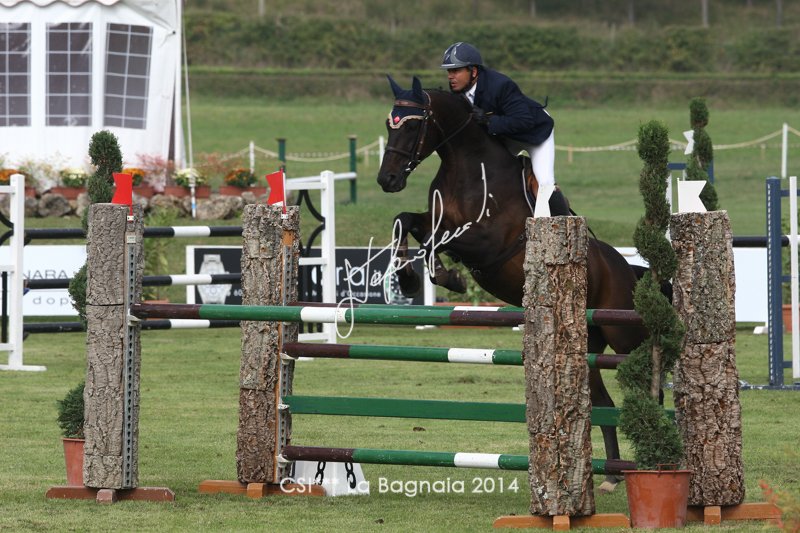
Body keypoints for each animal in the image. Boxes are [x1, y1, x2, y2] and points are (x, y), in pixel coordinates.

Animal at [376, 76, 648, 492]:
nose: (387, 179)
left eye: (412, 125)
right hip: (587, 347)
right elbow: (405, 222)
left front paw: (447, 277)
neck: (467, 166)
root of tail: (626, 268)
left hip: (622, 335)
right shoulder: (435, 219)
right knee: (603, 404)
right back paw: (612, 475)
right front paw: (407, 279)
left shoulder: (486, 243)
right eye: (389, 125)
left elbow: (436, 241)